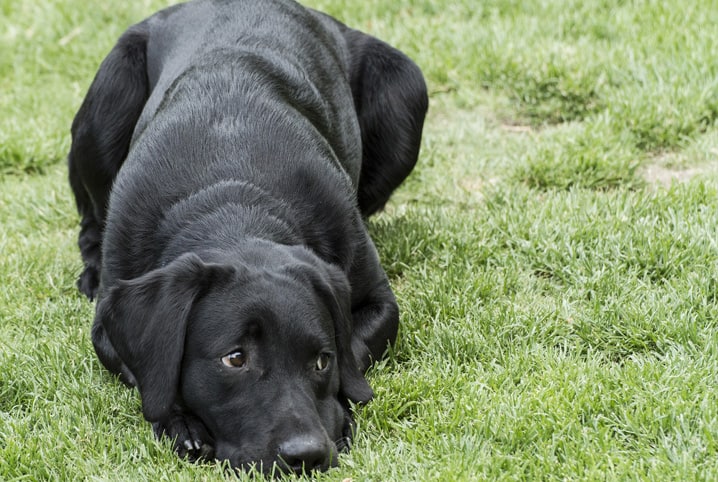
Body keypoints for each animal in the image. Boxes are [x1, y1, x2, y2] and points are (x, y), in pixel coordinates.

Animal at [68, 0, 428, 474]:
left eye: (322, 360)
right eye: (234, 359)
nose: (306, 454)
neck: (233, 200)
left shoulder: (377, 299)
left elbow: (354, 348)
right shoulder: (109, 322)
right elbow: (145, 373)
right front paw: (182, 424)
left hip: (405, 86)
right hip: (107, 101)